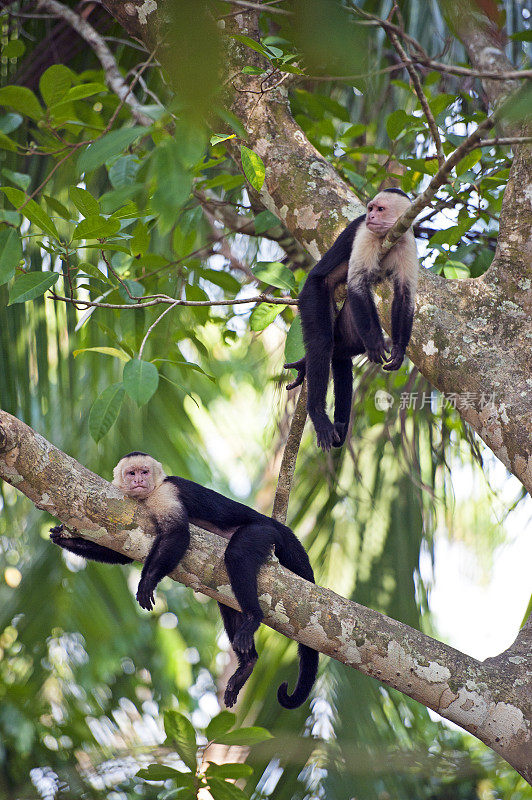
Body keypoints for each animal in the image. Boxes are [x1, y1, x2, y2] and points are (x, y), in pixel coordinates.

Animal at [48, 454, 316, 708]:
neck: (148, 495)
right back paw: (247, 664)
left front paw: (147, 582)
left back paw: (252, 618)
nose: (139, 481)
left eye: (144, 472)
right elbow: (122, 553)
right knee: (226, 596)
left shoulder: (165, 493)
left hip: (261, 531)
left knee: (238, 554)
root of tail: (273, 522)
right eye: (131, 473)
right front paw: (64, 538)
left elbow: (177, 533)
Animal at [284, 186, 418, 450]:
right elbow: (357, 283)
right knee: (322, 343)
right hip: (312, 293)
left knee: (343, 349)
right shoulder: (366, 234)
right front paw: (376, 343)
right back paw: (318, 414)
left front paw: (399, 349)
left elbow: (404, 295)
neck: (390, 235)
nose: (371, 217)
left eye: (380, 209)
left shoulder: (407, 242)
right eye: (371, 208)